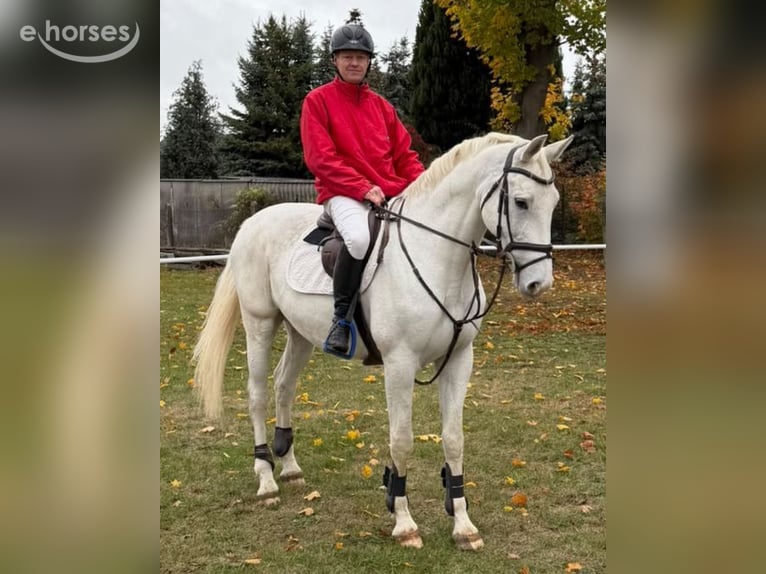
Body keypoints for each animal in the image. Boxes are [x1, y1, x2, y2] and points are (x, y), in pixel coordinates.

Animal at [192, 132, 573, 550]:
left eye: (553, 202)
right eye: (521, 202)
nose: (539, 284)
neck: (435, 255)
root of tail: (252, 222)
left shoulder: (459, 360)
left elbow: (454, 439)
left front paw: (463, 525)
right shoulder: (399, 364)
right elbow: (402, 440)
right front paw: (404, 522)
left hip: (300, 333)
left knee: (284, 386)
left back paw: (290, 469)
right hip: (259, 324)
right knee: (258, 393)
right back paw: (266, 481)